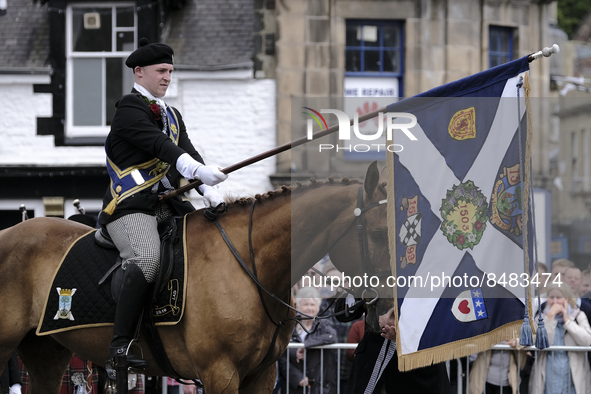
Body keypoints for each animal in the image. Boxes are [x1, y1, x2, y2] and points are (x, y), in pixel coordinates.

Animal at [0, 161, 394, 394]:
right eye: (377, 234)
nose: (391, 313)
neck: (249, 263)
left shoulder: (261, 376)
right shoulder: (220, 374)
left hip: (46, 354)